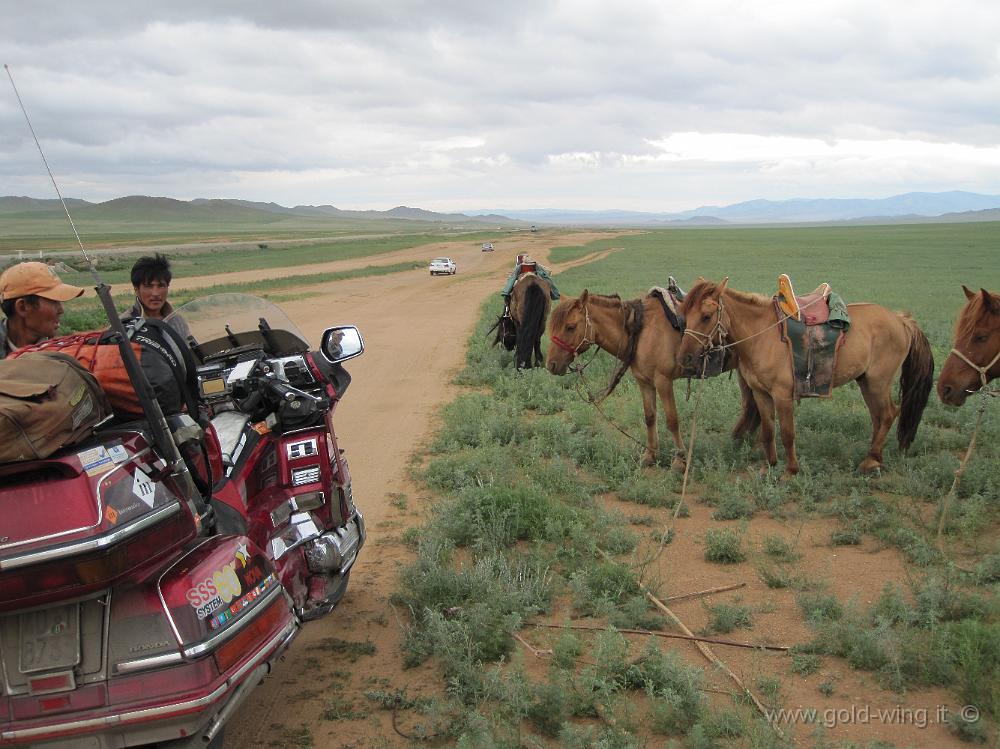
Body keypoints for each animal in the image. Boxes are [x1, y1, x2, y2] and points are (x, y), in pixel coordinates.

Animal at [548, 290, 756, 468]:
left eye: (570, 327)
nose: (551, 365)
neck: (640, 332)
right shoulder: (644, 381)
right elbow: (649, 417)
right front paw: (650, 455)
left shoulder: (663, 381)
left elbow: (672, 420)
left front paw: (680, 459)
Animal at [676, 278, 932, 476]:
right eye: (685, 314)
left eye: (707, 316)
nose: (684, 357)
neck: (762, 335)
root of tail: (901, 320)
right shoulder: (761, 393)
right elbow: (768, 431)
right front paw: (769, 466)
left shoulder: (782, 396)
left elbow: (788, 433)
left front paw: (790, 471)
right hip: (866, 382)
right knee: (878, 417)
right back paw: (874, 456)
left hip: (878, 382)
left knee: (888, 413)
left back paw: (870, 461)